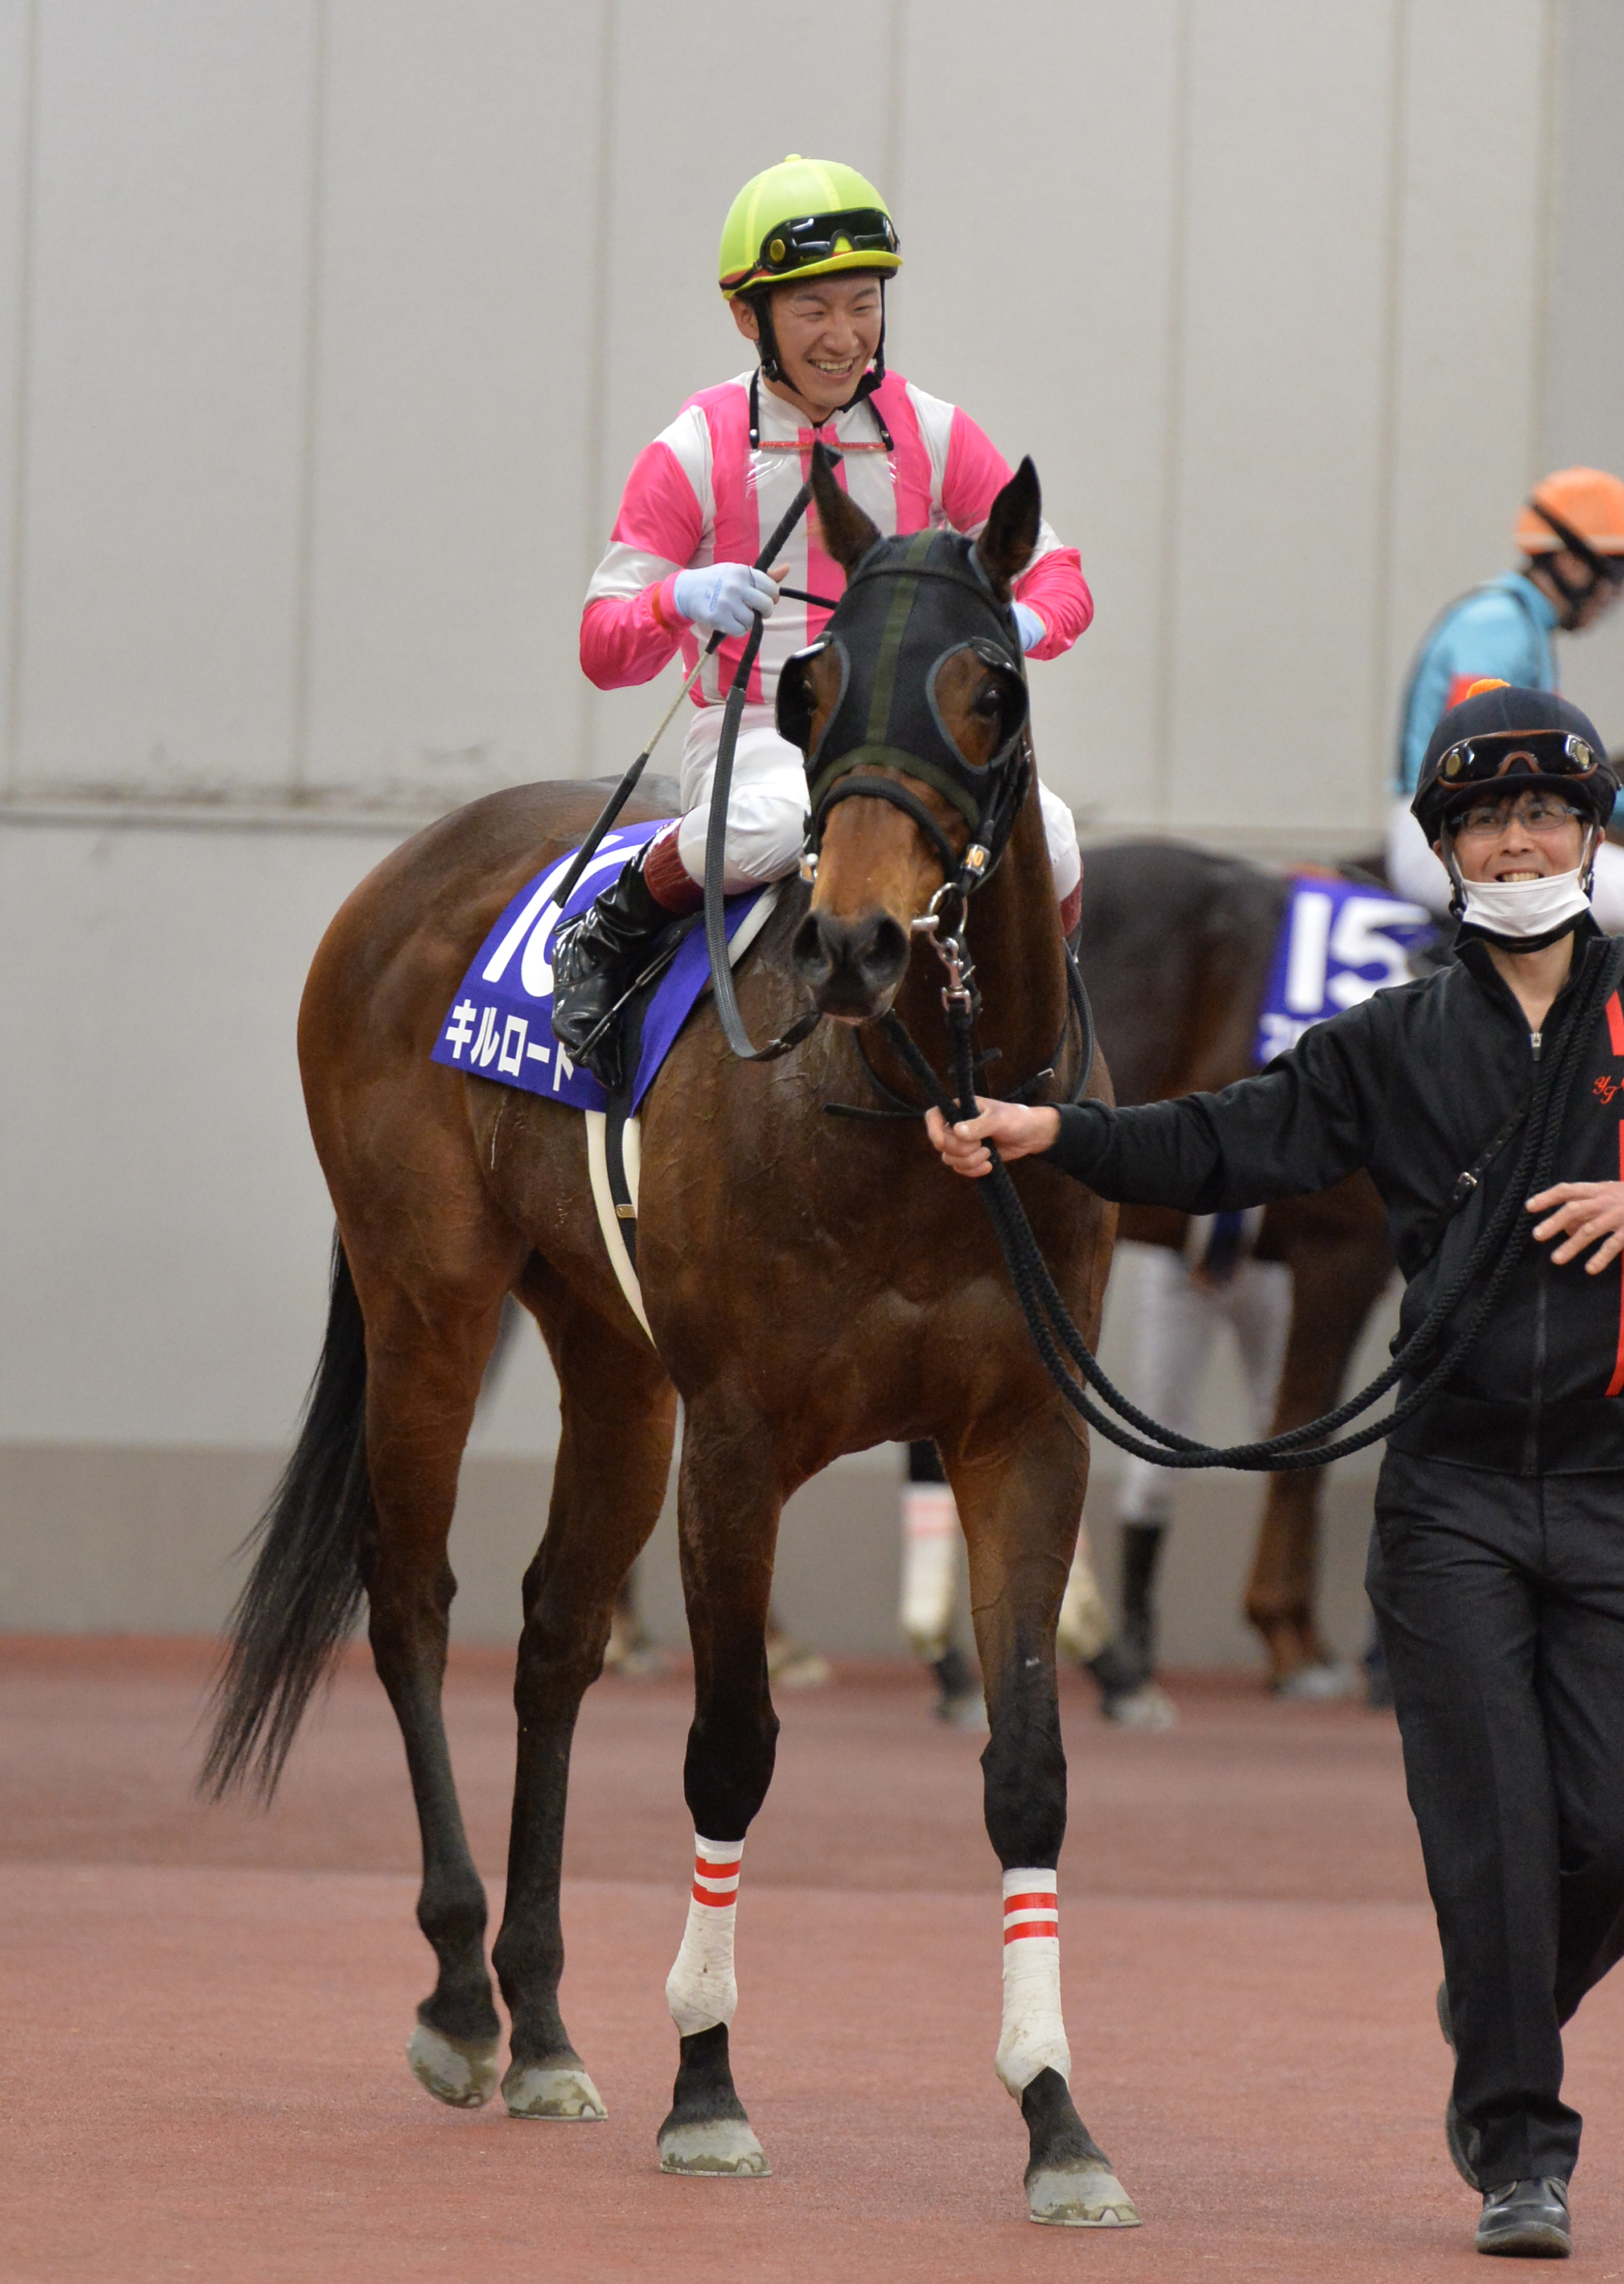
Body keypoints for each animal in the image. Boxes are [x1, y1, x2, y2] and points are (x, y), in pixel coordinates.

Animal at [203, 448, 1139, 2228]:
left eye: (988, 688)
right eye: (807, 681)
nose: (851, 943)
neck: (905, 1110)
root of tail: (412, 868)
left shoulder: (1019, 1433)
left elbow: (1030, 1772)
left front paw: (1057, 2118)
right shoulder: (741, 1439)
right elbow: (728, 1750)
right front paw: (705, 2087)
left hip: (612, 1363)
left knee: (555, 1633)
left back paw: (545, 2020)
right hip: (432, 1302)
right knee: (412, 1603)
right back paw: (460, 1996)